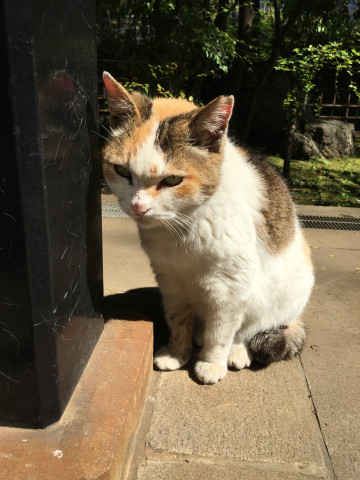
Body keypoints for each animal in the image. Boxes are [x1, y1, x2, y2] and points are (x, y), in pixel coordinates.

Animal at [101, 71, 312, 384]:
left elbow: (221, 331)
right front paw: (177, 353)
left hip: (283, 296)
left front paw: (211, 363)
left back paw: (238, 351)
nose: (139, 206)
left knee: (253, 327)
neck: (181, 230)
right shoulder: (169, 279)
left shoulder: (231, 286)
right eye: (122, 171)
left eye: (172, 180)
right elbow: (178, 319)